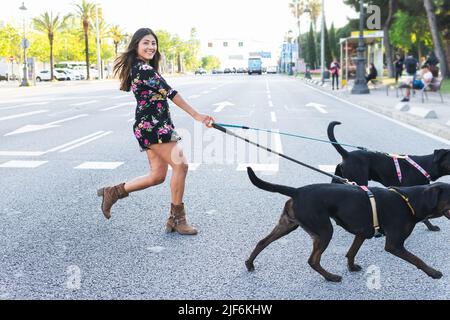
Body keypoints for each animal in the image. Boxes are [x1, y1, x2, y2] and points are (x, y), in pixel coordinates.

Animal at [246, 168, 450, 282]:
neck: (409, 200)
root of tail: (297, 191)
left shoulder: (362, 233)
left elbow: (351, 252)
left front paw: (351, 267)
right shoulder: (394, 245)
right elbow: (418, 260)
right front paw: (434, 273)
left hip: (288, 225)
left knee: (262, 242)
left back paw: (249, 264)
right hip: (324, 231)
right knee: (313, 260)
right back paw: (331, 277)